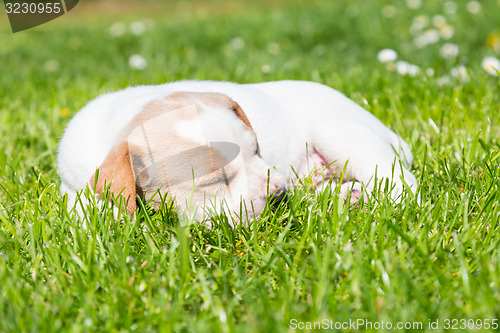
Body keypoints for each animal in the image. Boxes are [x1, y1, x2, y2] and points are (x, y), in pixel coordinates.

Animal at [57, 79, 418, 222]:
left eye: (257, 151)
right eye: (215, 181)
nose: (279, 197)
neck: (120, 125)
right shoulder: (72, 184)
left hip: (341, 133)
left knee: (401, 182)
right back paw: (347, 197)